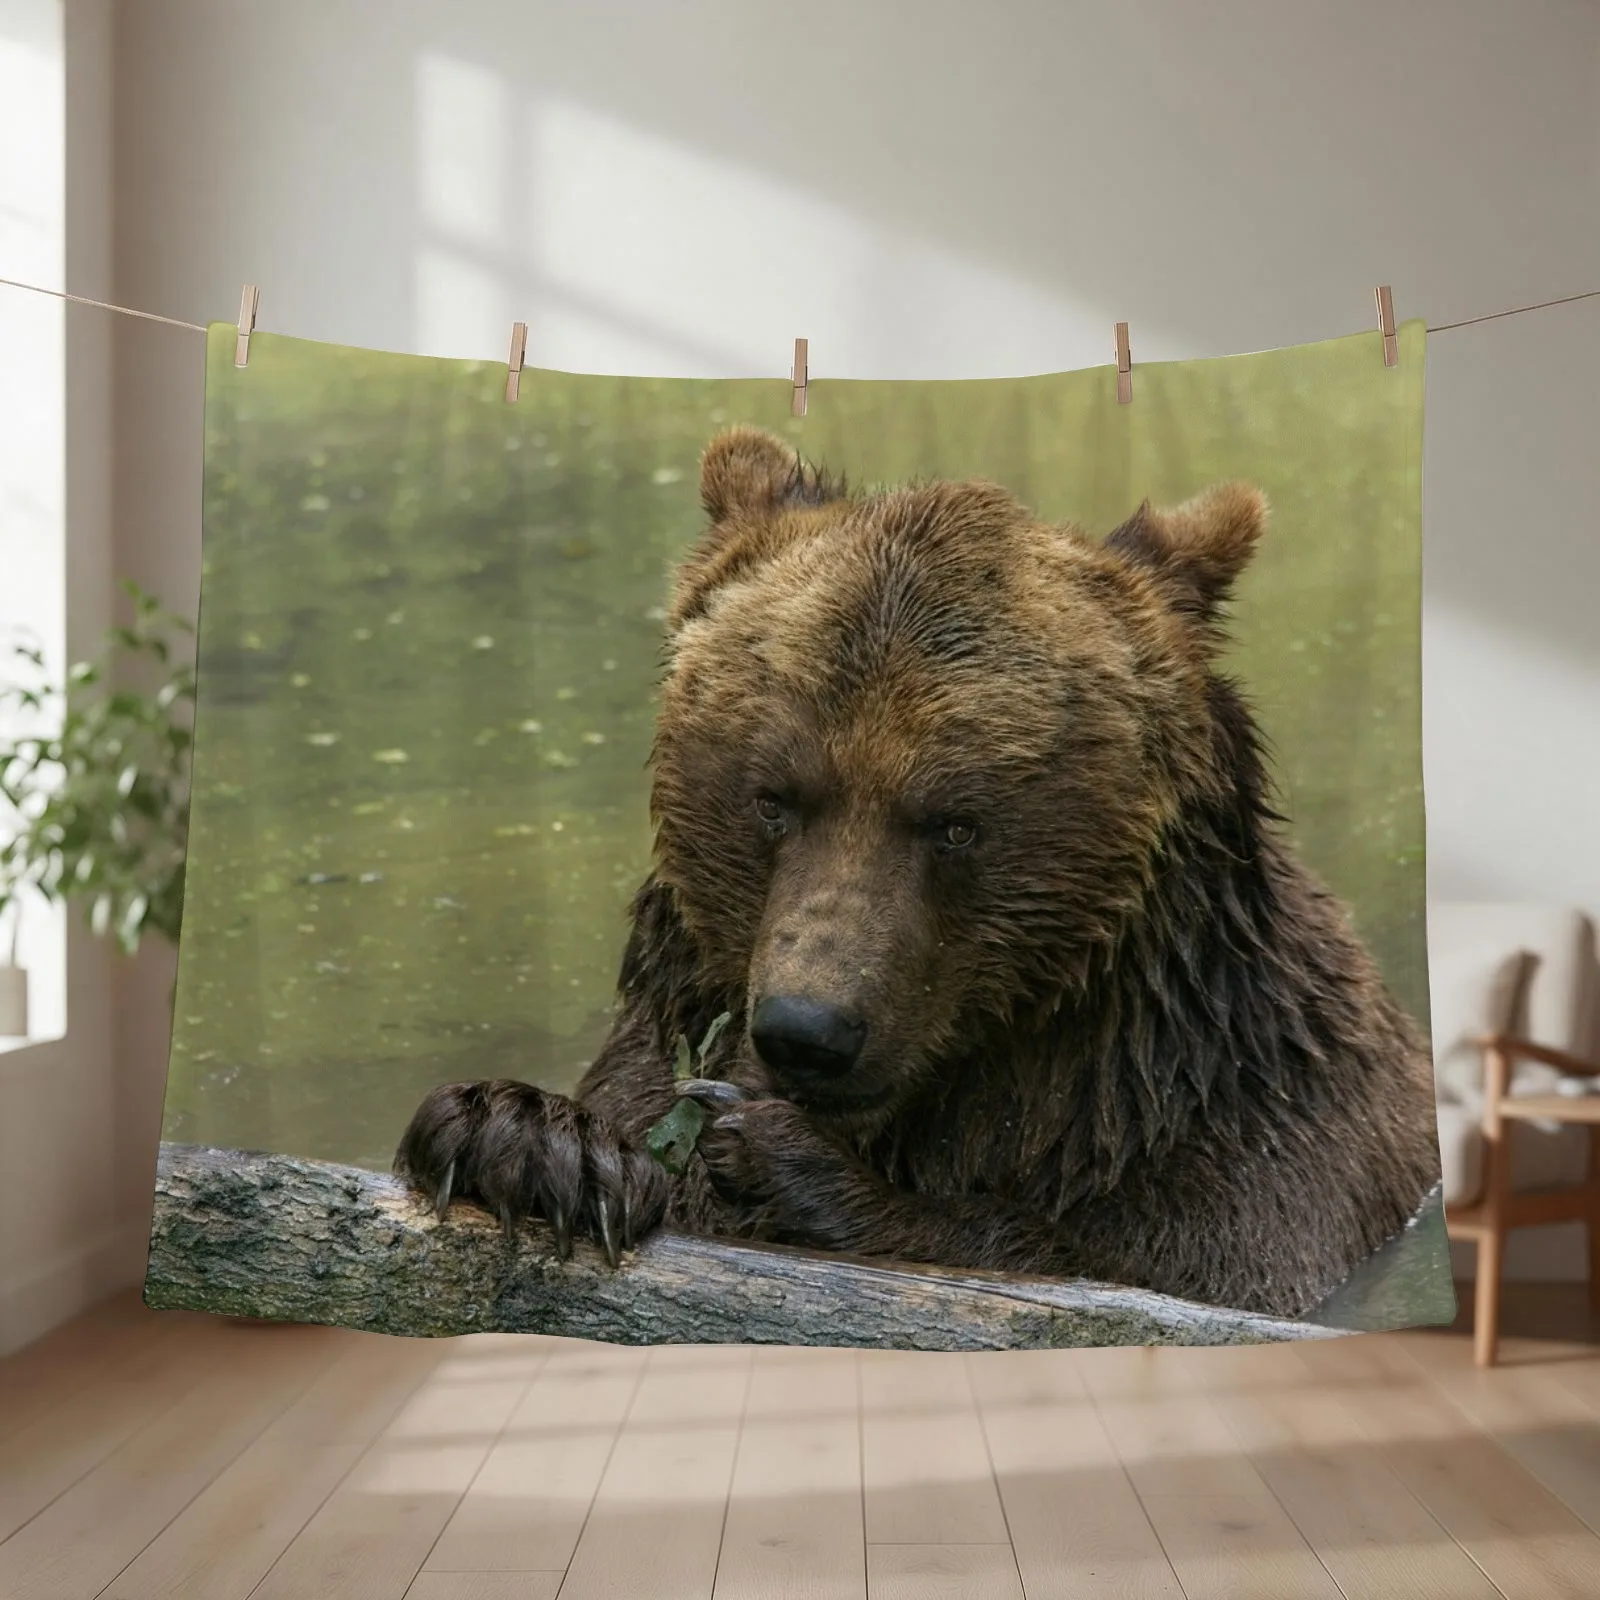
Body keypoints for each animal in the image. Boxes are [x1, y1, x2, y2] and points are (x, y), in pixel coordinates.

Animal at [395, 424, 1442, 1321]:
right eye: (774, 796)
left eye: (954, 822)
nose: (809, 1032)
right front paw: (529, 1140)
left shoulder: (1253, 1145)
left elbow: (1119, 1266)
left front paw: (781, 1160)